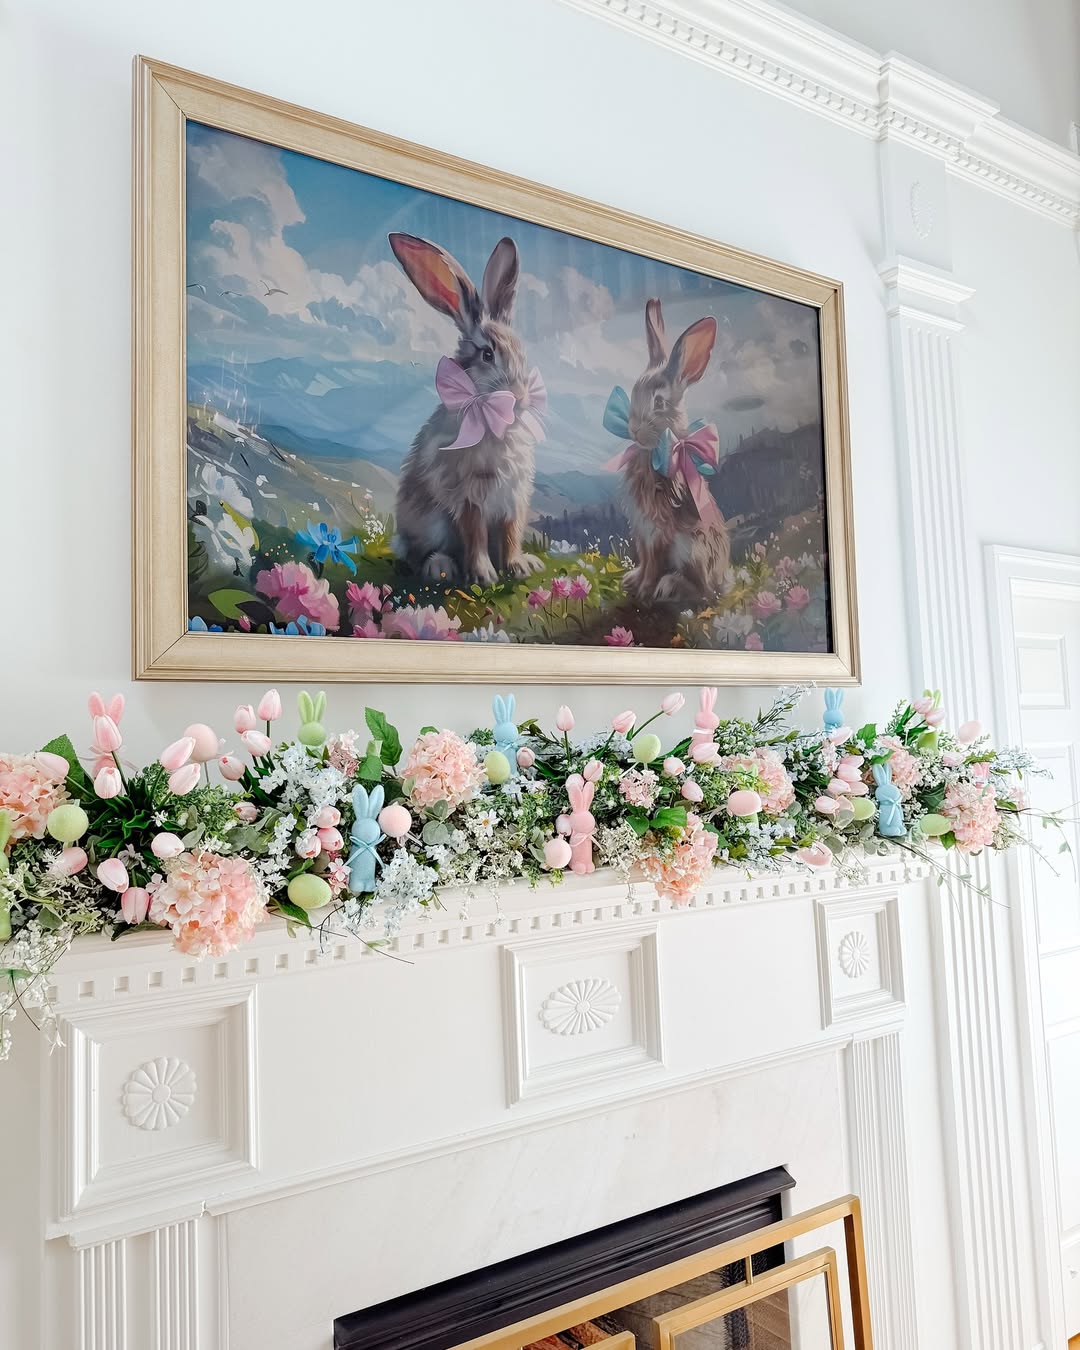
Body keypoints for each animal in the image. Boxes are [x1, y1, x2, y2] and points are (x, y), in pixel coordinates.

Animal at [388, 232, 545, 587]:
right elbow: (475, 535)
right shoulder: (468, 495)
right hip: (429, 524)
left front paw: (518, 566)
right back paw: (440, 567)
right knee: (415, 555)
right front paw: (484, 575)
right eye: (487, 355)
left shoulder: (514, 497)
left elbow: (511, 534)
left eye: (522, 354)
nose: (519, 397)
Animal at [611, 299, 730, 605]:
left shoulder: (657, 532)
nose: (634, 430)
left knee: (703, 591)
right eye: (633, 392)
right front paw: (632, 581)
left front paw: (644, 591)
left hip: (692, 550)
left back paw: (671, 586)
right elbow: (644, 561)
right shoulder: (642, 533)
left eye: (659, 402)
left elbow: (653, 565)